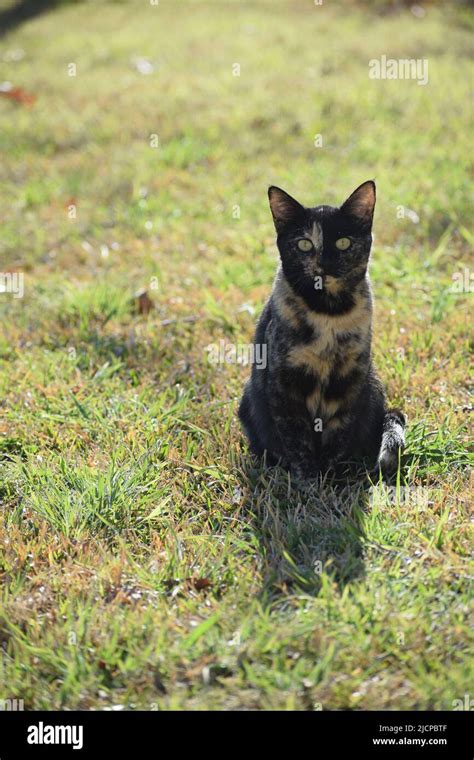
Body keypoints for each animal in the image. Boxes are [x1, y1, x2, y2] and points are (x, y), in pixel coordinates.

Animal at [239, 178, 406, 480]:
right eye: (304, 244)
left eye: (343, 242)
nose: (324, 264)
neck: (329, 312)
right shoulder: (284, 382)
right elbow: (296, 435)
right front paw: (308, 478)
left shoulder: (349, 379)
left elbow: (338, 431)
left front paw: (330, 474)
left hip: (373, 384)